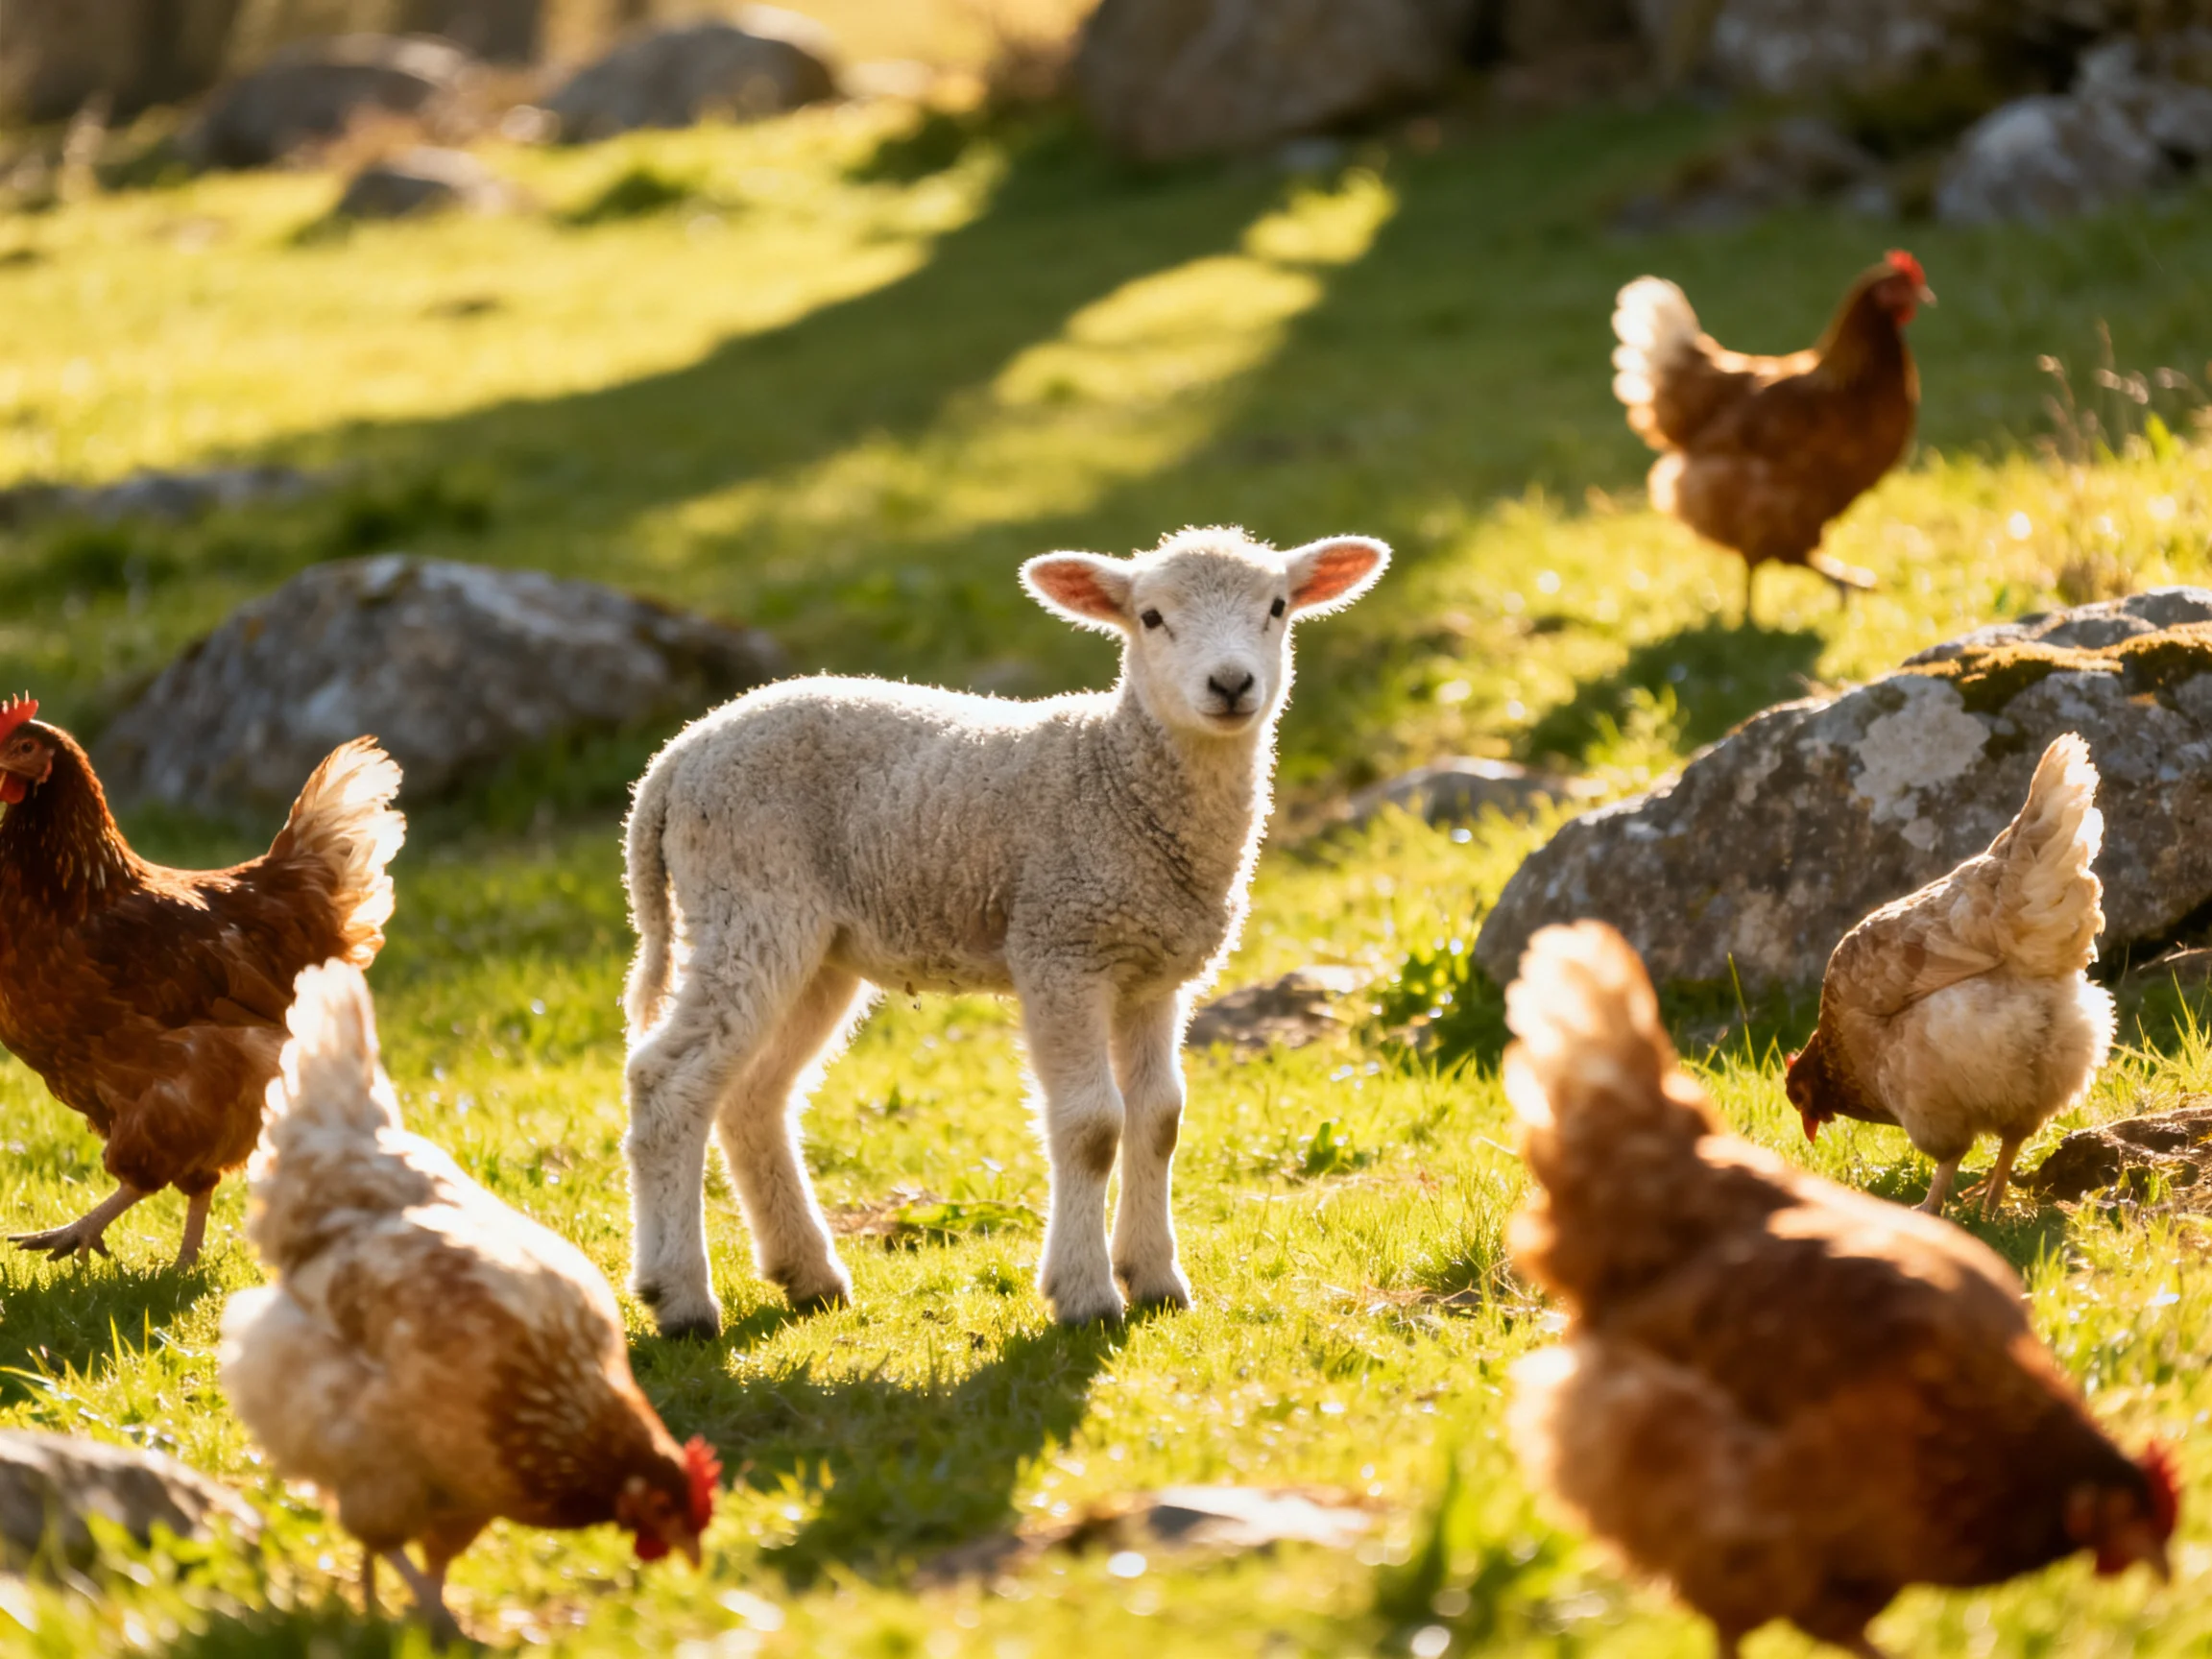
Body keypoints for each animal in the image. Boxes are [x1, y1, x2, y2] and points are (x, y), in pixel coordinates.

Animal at [620, 524, 1389, 1335]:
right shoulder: (1060, 949)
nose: (1232, 684)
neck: (1116, 778)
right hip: (749, 903)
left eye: (1277, 607)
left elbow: (1159, 1119)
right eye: (1150, 617)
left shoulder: (1154, 973)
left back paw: (808, 1274)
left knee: (752, 1097)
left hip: (816, 947)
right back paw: (680, 1297)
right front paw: (1086, 1296)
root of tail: (674, 759)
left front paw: (1156, 1281)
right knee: (667, 1082)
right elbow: (1092, 1127)